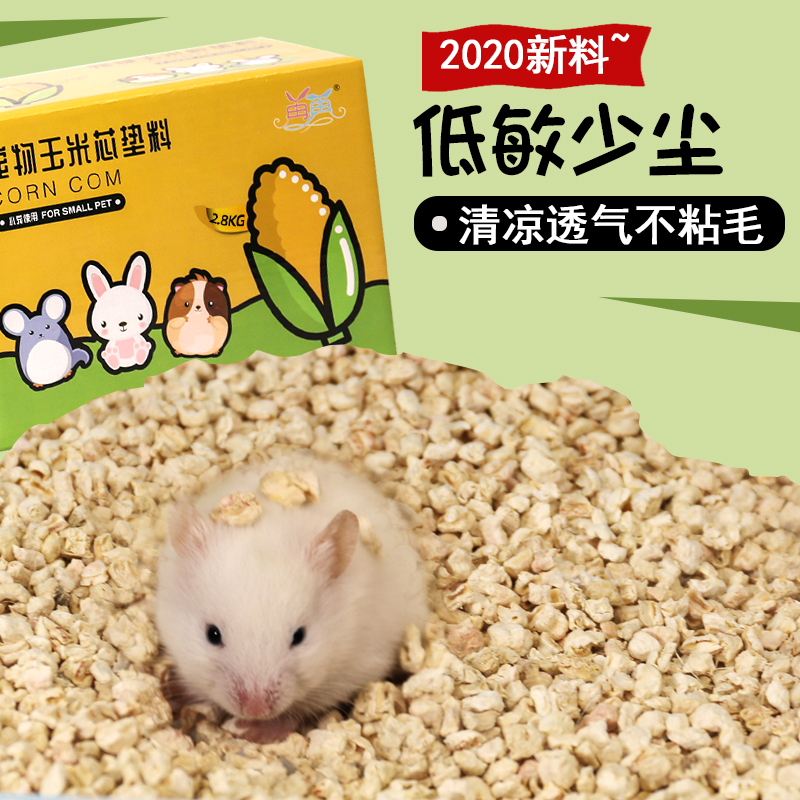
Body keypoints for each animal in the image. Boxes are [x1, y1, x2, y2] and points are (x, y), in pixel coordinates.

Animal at [155, 454, 430, 744]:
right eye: (212, 634)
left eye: (299, 636)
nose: (255, 710)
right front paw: (171, 692)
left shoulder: (355, 670)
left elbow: (297, 713)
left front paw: (250, 730)